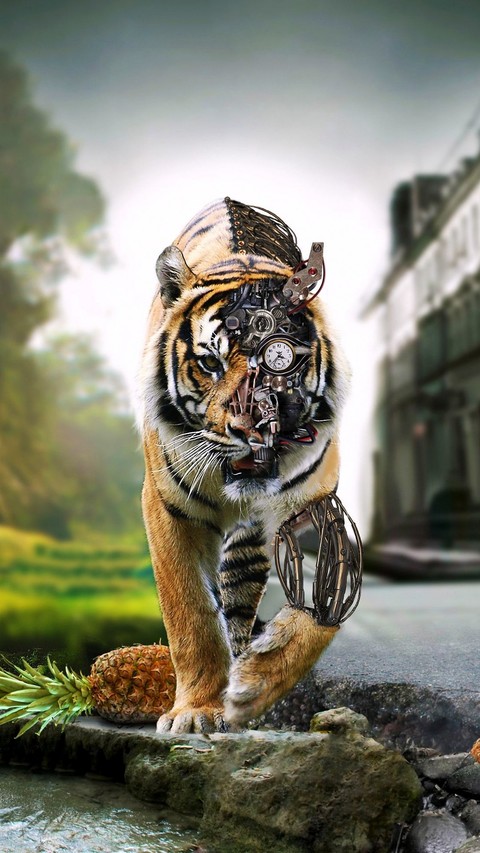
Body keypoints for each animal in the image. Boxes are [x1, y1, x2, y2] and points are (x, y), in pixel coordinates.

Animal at [140, 197, 351, 733]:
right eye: (210, 364)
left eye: (280, 361)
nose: (251, 429)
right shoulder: (168, 508)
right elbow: (190, 612)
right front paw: (196, 710)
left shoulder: (318, 506)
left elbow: (319, 612)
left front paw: (253, 686)